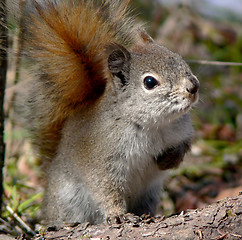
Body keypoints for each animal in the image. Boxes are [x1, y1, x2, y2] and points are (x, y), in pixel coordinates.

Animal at [12, 0, 199, 226]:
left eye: (180, 59)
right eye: (150, 82)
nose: (193, 87)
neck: (155, 125)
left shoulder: (181, 132)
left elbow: (183, 148)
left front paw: (168, 160)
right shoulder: (102, 158)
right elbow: (106, 189)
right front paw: (117, 214)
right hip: (68, 202)